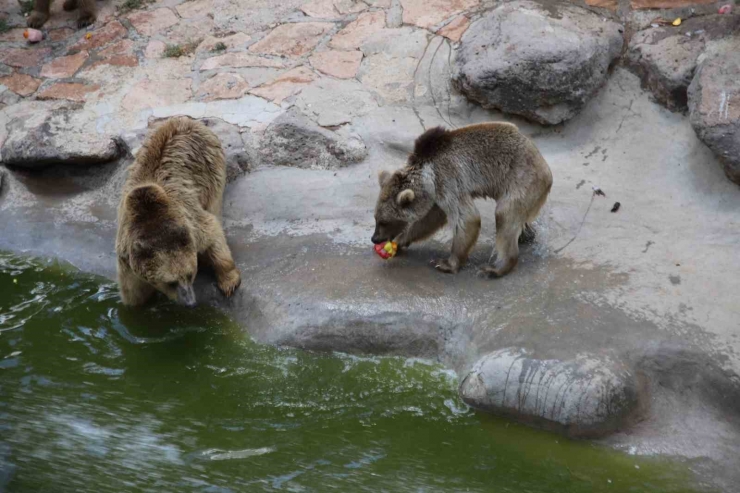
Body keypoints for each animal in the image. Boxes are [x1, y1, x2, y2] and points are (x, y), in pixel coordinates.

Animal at [115, 117, 241, 306]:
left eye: (189, 274)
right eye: (170, 282)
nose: (190, 301)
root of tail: (185, 119)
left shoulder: (191, 221)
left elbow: (213, 232)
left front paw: (229, 282)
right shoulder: (127, 260)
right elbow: (133, 296)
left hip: (210, 167)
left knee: (214, 205)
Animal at [372, 122, 552, 276]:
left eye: (384, 221)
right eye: (376, 218)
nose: (375, 239)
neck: (427, 176)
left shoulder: (448, 180)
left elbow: (466, 218)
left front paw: (445, 263)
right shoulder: (437, 195)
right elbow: (429, 220)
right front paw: (400, 241)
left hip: (521, 179)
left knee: (505, 215)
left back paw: (496, 267)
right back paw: (526, 234)